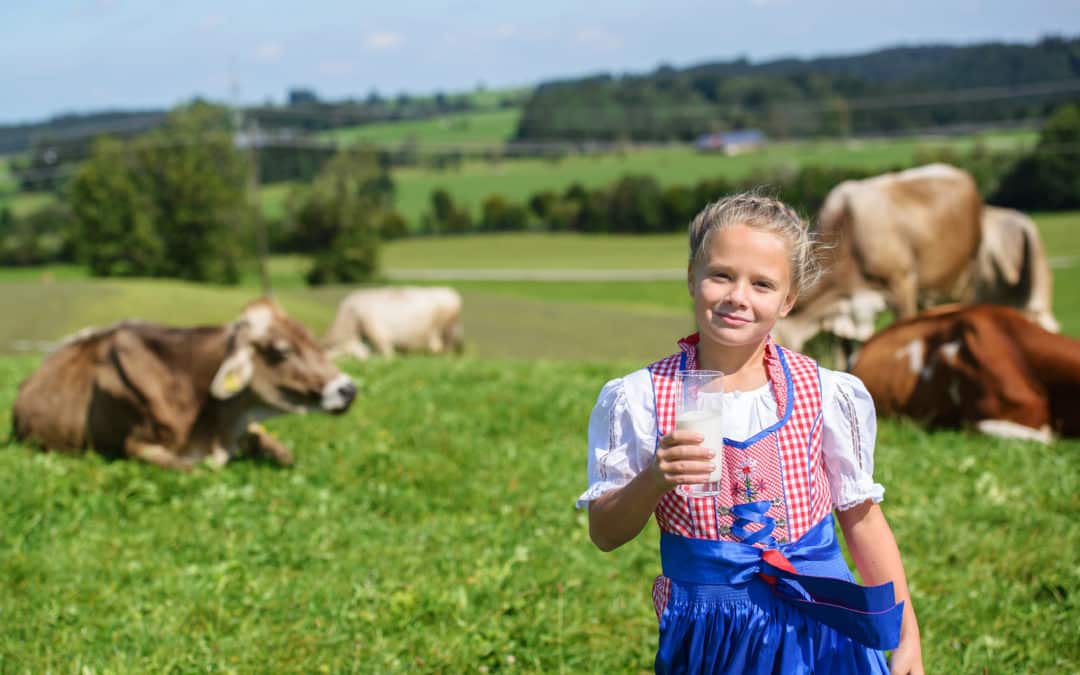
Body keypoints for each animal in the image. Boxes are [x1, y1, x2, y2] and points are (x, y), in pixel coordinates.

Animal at [11, 298, 358, 466]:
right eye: (280, 350)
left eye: (311, 339)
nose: (348, 389)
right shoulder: (136, 445)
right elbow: (188, 468)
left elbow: (285, 455)